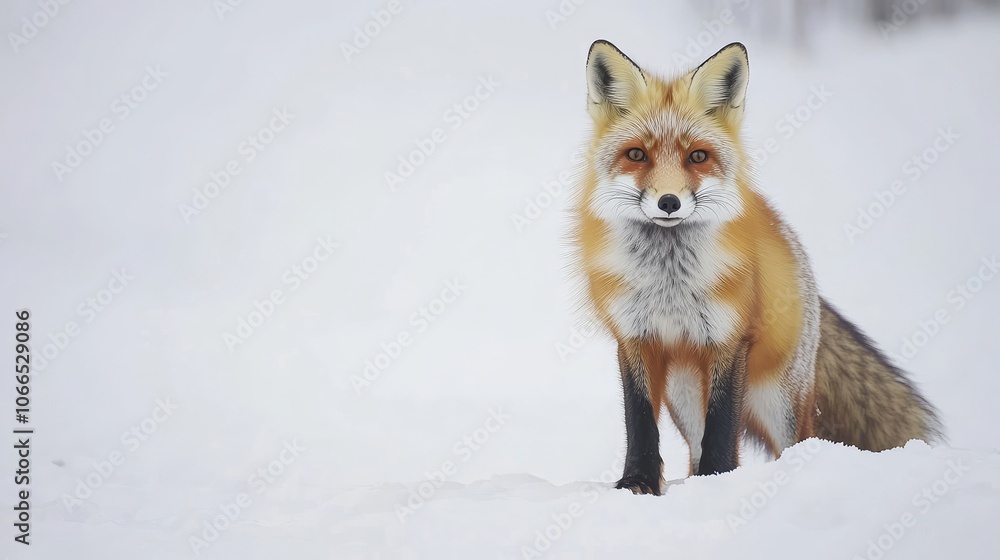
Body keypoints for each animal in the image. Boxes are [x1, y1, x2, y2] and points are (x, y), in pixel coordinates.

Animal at [573, 40, 943, 495]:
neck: (670, 282)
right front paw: (637, 483)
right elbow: (640, 423)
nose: (669, 202)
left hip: (778, 400)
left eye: (698, 156)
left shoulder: (729, 340)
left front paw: (718, 482)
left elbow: (723, 427)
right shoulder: (634, 339)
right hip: (684, 394)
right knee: (693, 448)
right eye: (637, 155)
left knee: (796, 442)